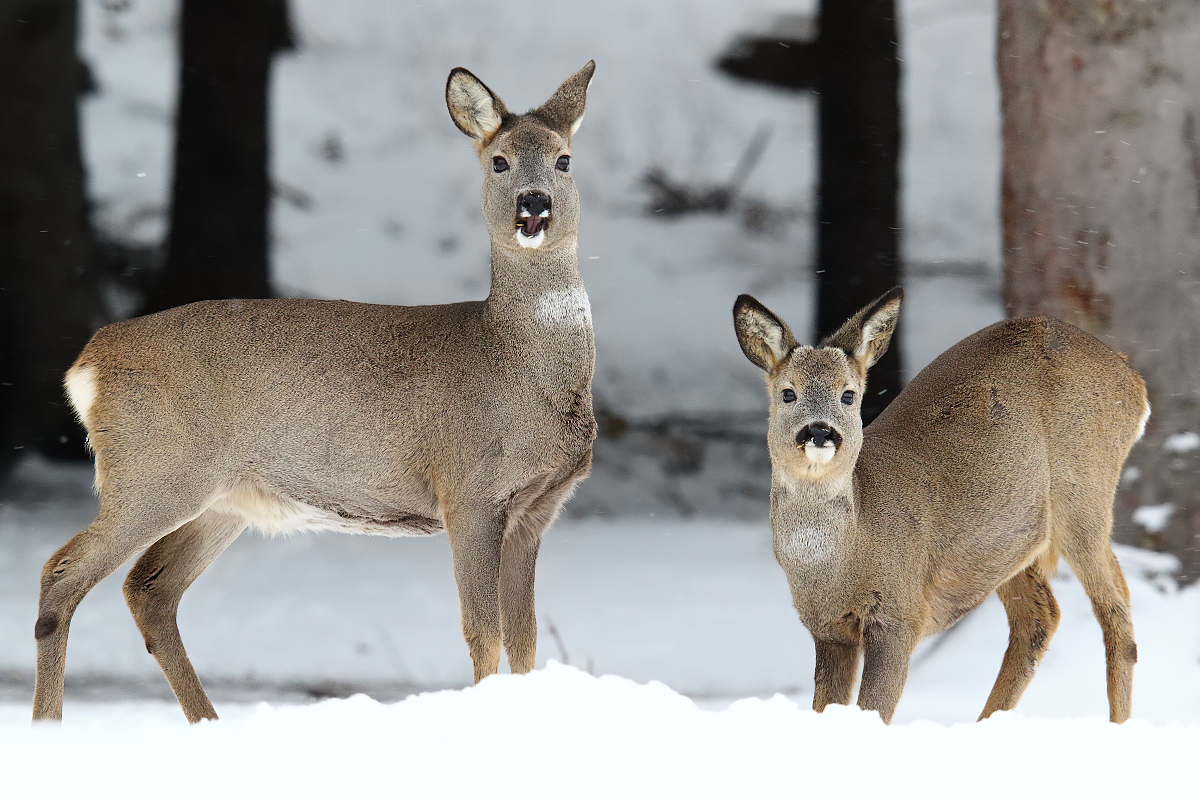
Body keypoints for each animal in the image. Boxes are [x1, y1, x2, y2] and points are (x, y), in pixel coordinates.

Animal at [34, 64, 600, 724]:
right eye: (500, 162)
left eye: (564, 160)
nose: (534, 205)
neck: (515, 368)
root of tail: (88, 363)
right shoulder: (469, 491)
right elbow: (483, 635)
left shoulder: (538, 510)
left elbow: (525, 642)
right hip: (152, 472)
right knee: (62, 573)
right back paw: (48, 725)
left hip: (223, 498)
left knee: (149, 587)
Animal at [729, 289, 1142, 724]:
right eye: (788, 393)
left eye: (848, 395)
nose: (820, 431)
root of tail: (1134, 380)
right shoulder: (826, 628)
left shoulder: (900, 613)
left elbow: (874, 709)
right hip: (1010, 538)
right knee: (1041, 617)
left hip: (1085, 492)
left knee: (1116, 612)